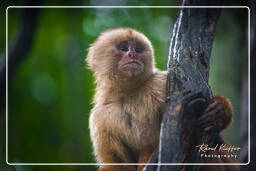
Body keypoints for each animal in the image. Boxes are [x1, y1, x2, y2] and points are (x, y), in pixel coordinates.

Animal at [85, 28, 236, 171]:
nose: (132, 54)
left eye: (137, 49)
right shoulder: (99, 117)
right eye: (123, 48)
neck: (129, 93)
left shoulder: (162, 82)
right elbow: (118, 163)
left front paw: (219, 111)